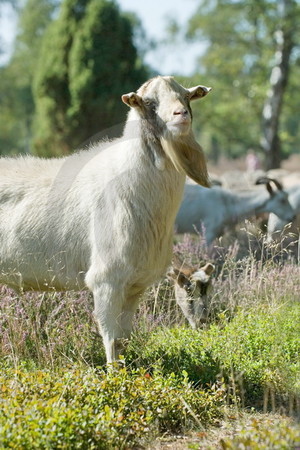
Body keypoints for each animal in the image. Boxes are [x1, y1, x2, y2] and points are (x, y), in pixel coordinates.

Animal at [0, 75, 211, 364]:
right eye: (149, 102)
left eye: (187, 97)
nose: (181, 115)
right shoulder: (106, 280)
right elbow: (110, 339)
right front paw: (113, 374)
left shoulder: (134, 286)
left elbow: (123, 339)